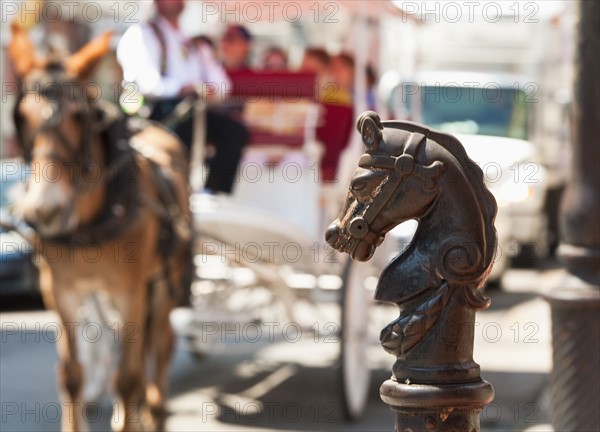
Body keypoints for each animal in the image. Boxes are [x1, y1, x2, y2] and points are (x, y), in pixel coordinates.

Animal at [8, 23, 192, 432]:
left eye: (78, 115)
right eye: (22, 118)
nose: (45, 210)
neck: (94, 219)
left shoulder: (131, 292)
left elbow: (128, 377)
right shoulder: (60, 293)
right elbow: (72, 375)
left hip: (163, 281)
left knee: (160, 348)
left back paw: (155, 410)